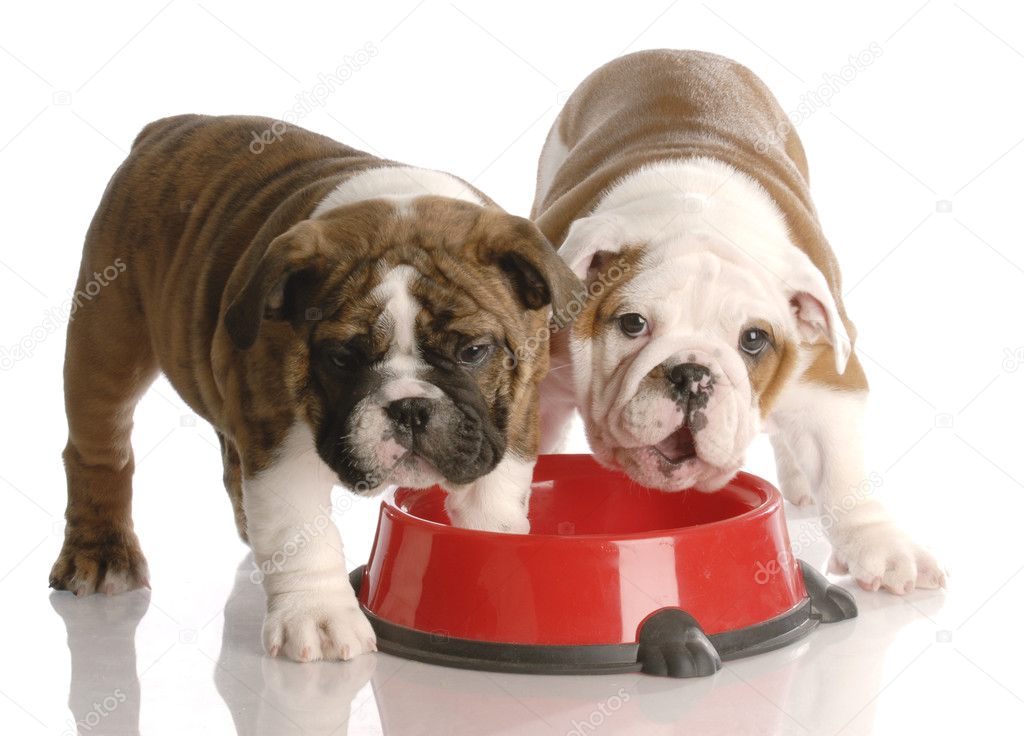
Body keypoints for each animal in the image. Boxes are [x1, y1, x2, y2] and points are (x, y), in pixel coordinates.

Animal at [536, 50, 942, 593]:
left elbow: (842, 469)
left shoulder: (828, 370)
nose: (691, 374)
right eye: (632, 324)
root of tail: (676, 52)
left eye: (753, 340)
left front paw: (882, 547)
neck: (696, 214)